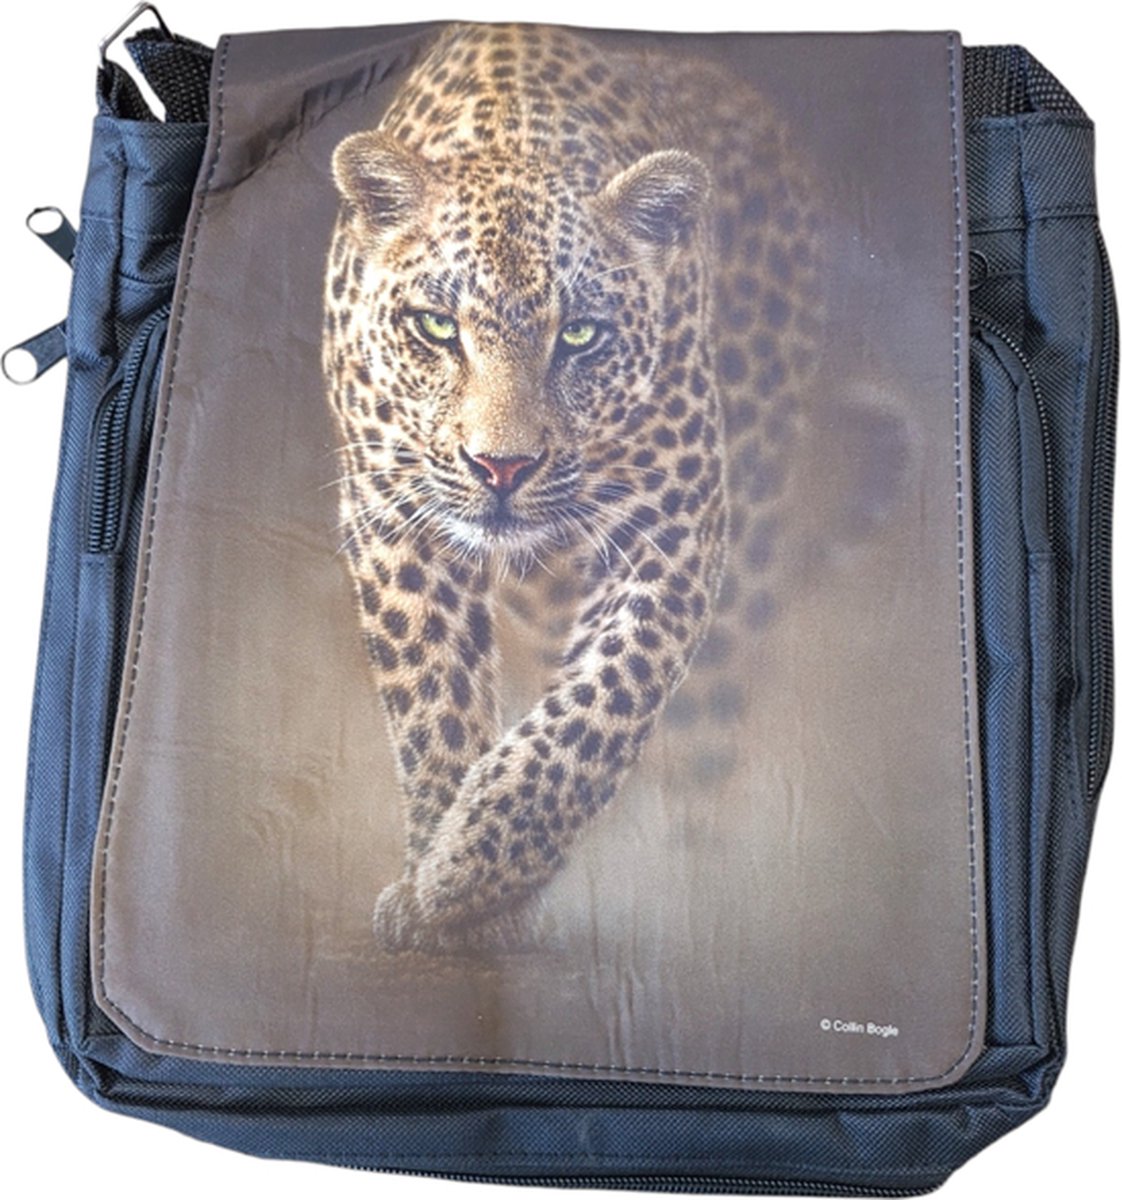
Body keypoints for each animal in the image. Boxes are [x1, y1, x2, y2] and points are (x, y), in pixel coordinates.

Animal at [323, 22, 823, 952]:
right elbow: (431, 698)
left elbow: (600, 710)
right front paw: (441, 880)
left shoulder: (674, 522)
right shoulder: (390, 512)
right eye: (438, 328)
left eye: (581, 336)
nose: (502, 468)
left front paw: (472, 875)